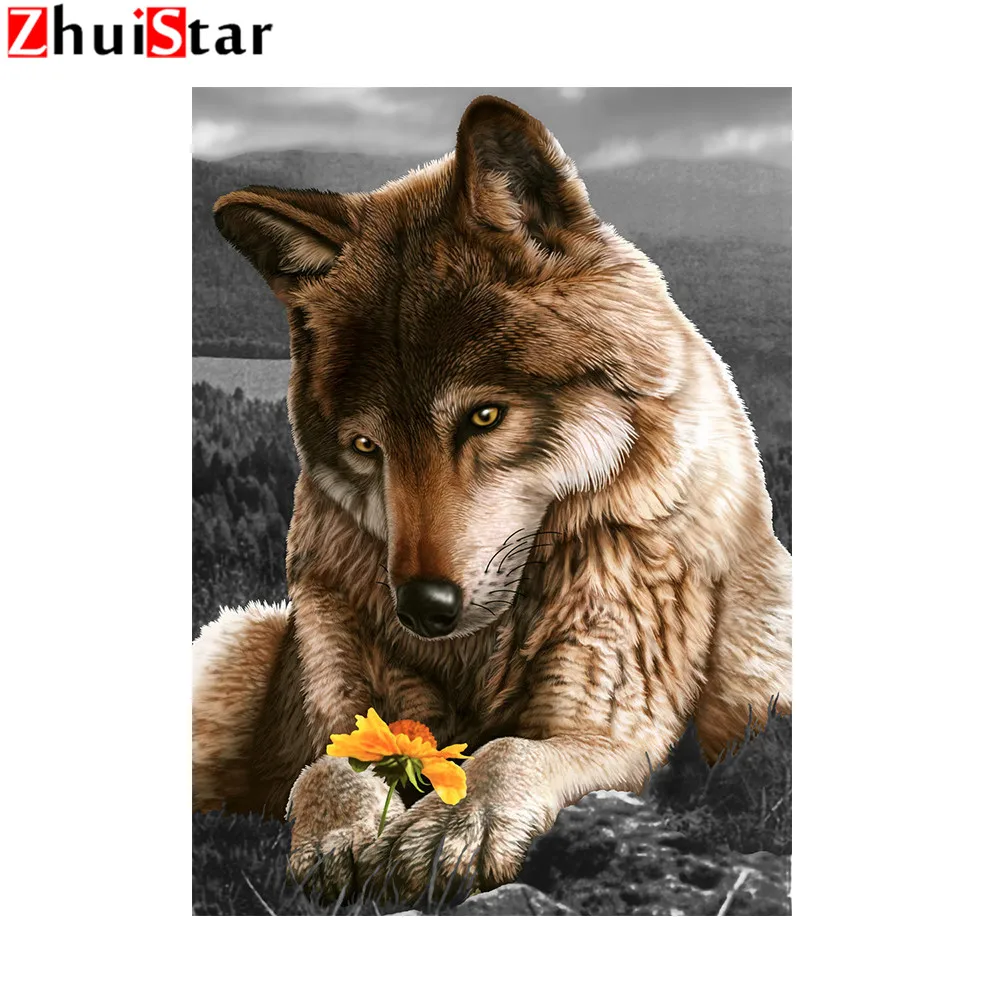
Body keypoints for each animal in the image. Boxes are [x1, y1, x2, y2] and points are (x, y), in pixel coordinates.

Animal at [193, 95, 791, 900]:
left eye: (484, 417)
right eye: (366, 447)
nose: (421, 608)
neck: (481, 651)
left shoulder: (613, 727)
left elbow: (505, 751)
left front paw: (453, 827)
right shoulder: (348, 702)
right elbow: (328, 766)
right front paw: (341, 837)